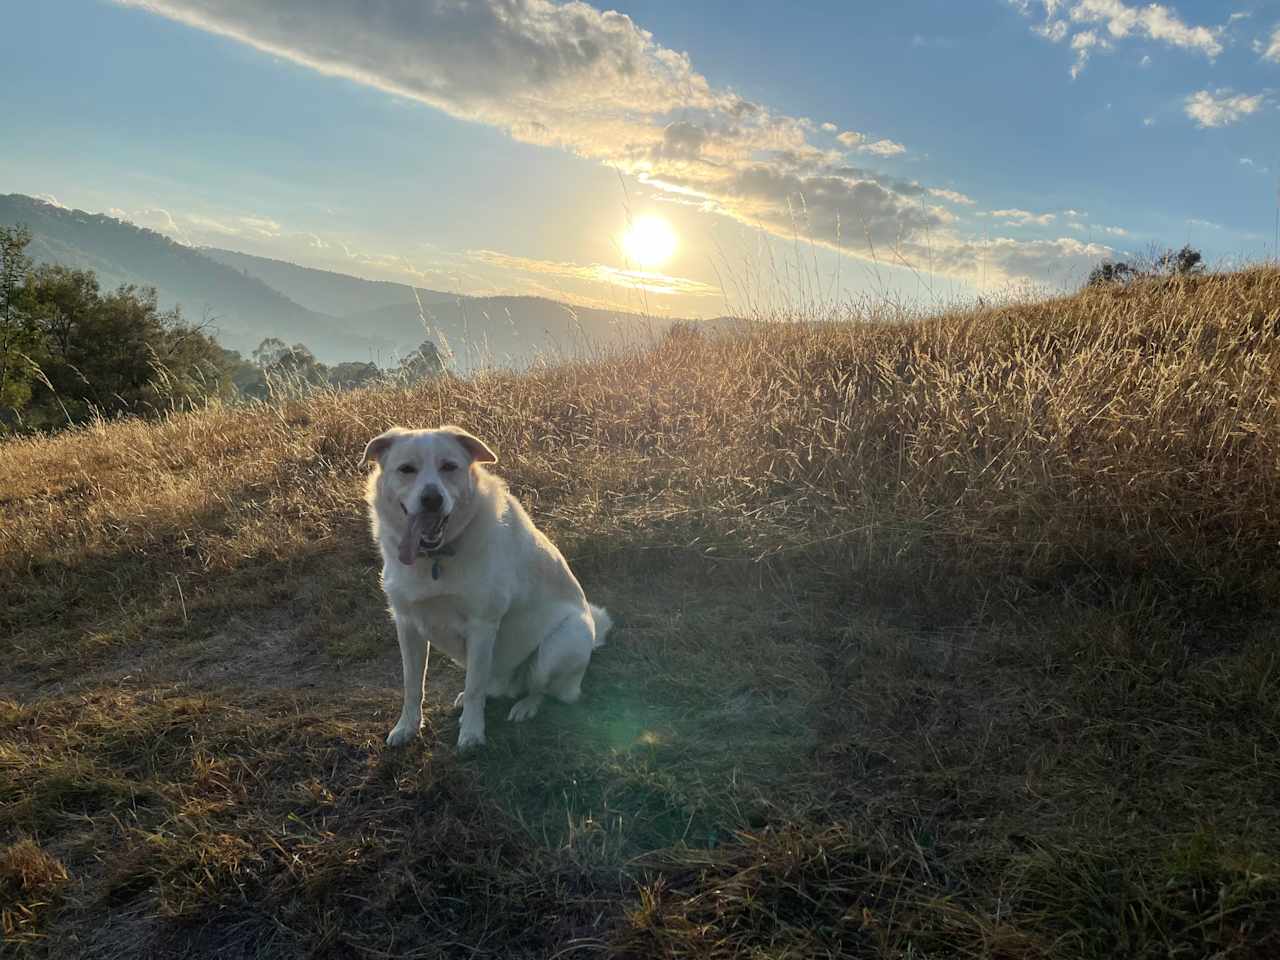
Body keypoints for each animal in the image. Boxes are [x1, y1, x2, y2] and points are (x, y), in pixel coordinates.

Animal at [360, 427, 609, 752]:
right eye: (407, 469)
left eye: (449, 466)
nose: (432, 499)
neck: (436, 557)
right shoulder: (407, 624)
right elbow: (412, 685)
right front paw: (407, 727)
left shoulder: (482, 625)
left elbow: (475, 687)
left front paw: (472, 733)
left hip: (561, 644)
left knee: (541, 689)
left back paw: (525, 706)